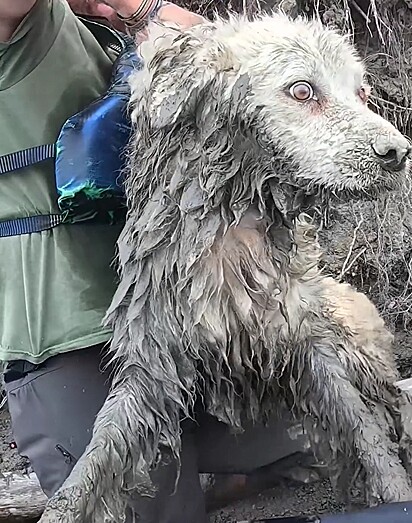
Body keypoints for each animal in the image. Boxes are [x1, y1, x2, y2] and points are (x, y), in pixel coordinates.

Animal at [40, 12, 412, 523]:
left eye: (360, 92)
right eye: (302, 90)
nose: (398, 153)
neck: (228, 237)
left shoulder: (306, 337)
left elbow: (366, 434)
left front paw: (393, 491)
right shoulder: (151, 362)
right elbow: (91, 468)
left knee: (392, 403)